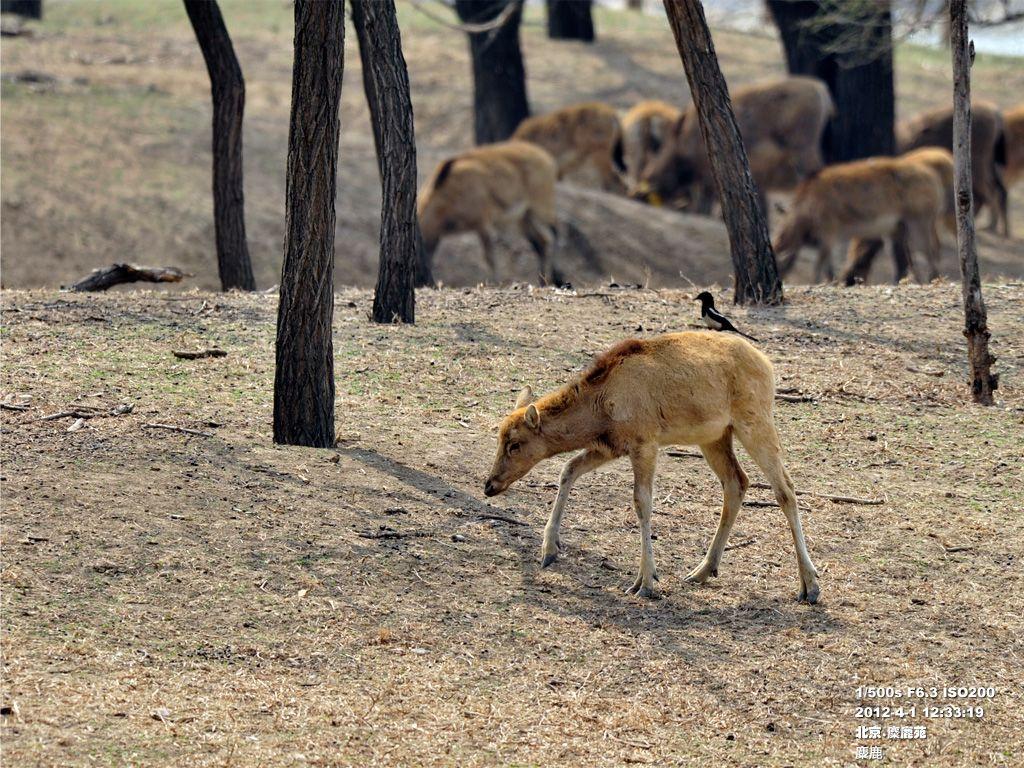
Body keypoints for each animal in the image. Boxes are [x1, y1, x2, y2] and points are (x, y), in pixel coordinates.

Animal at [415, 140, 561, 286]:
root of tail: (546, 158)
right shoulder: (435, 237)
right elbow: (430, 259)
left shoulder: (483, 224)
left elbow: (489, 258)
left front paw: (496, 282)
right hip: (525, 218)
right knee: (540, 243)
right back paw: (542, 280)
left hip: (541, 209)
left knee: (553, 233)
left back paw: (553, 277)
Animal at [483, 333, 819, 606]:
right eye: (499, 437)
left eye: (515, 444)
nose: (490, 485)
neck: (601, 406)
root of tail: (768, 365)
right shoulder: (610, 446)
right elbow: (568, 469)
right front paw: (549, 550)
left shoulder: (645, 442)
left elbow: (642, 501)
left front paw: (645, 581)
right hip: (714, 436)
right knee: (736, 482)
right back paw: (701, 570)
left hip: (754, 421)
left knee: (785, 488)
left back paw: (810, 586)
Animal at [774, 152, 942, 282]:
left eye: (779, 261)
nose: (781, 279)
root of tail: (931, 177)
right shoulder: (826, 239)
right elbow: (827, 266)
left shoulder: (828, 233)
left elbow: (819, 265)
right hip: (897, 231)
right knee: (909, 259)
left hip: (919, 224)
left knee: (930, 254)